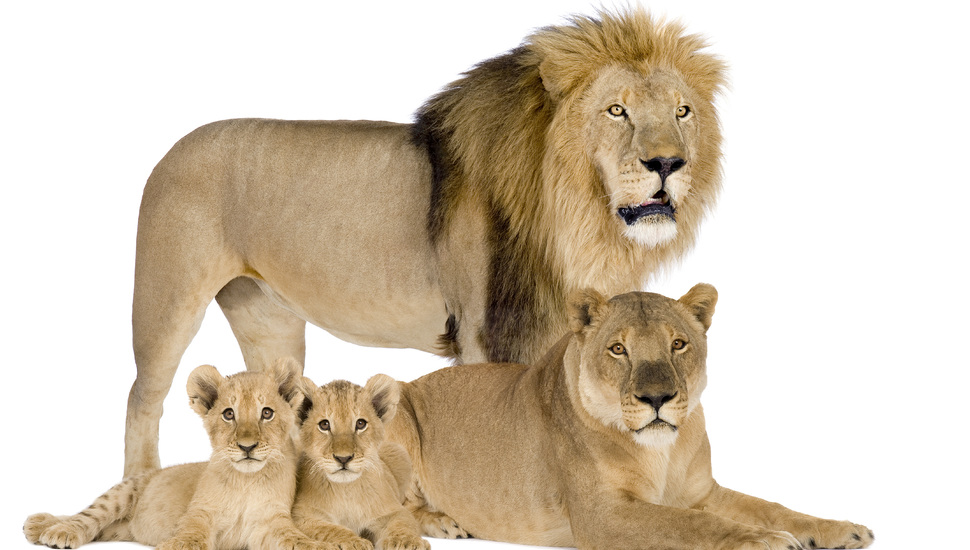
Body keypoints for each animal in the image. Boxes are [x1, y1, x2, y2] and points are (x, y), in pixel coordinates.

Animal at [24, 359, 326, 550]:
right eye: (229, 414)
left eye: (267, 413)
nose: (247, 447)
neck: (246, 481)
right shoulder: (199, 512)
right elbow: (190, 535)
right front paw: (176, 545)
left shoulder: (270, 521)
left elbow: (295, 539)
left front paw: (319, 545)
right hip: (122, 492)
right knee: (87, 515)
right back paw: (53, 528)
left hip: (119, 528)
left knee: (99, 528)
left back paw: (42, 526)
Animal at [122, 8, 727, 476]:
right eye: (616, 110)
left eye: (682, 111)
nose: (669, 163)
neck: (579, 218)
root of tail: (171, 149)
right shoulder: (486, 331)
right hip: (167, 302)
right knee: (141, 399)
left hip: (268, 319)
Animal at [291, 375, 430, 550]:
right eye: (324, 425)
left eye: (360, 424)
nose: (343, 458)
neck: (346, 489)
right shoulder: (301, 515)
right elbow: (329, 528)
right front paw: (355, 542)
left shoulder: (395, 511)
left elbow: (402, 524)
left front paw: (408, 542)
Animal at [386, 285, 875, 550]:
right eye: (618, 349)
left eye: (678, 343)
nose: (657, 397)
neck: (663, 451)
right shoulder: (603, 515)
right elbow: (690, 525)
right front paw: (765, 540)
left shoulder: (702, 492)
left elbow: (772, 507)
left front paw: (840, 529)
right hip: (394, 404)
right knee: (399, 505)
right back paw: (444, 522)